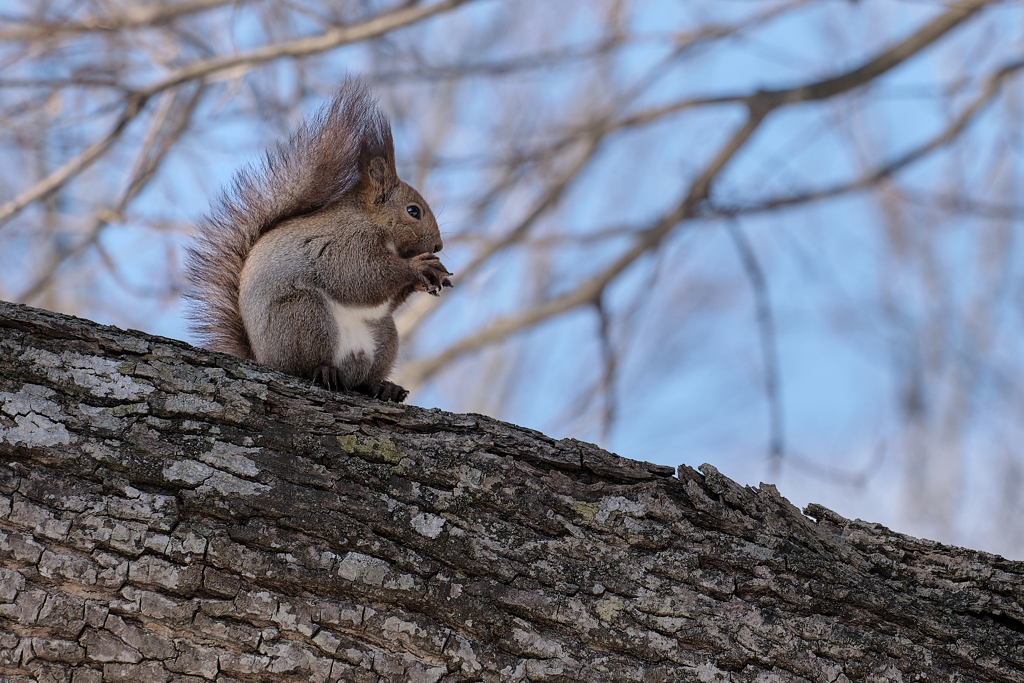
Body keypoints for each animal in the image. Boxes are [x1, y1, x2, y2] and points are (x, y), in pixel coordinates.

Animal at [186, 80, 450, 403]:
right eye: (413, 211)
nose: (438, 246)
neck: (373, 223)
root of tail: (262, 358)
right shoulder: (344, 242)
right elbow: (360, 276)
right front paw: (416, 267)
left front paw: (431, 274)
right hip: (302, 315)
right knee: (304, 366)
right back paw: (325, 371)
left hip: (384, 336)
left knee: (361, 380)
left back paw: (382, 386)